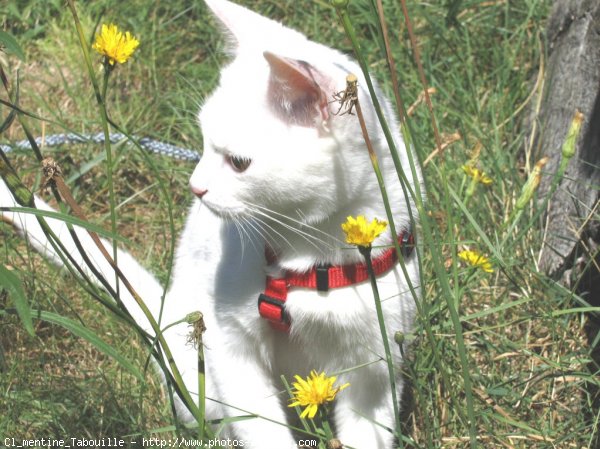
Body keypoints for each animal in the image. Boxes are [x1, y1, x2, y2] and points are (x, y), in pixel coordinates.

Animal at [0, 1, 422, 446]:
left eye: (238, 162)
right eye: (202, 144)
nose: (195, 187)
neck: (314, 259)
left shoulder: (376, 366)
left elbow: (366, 428)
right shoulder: (230, 345)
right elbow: (261, 429)